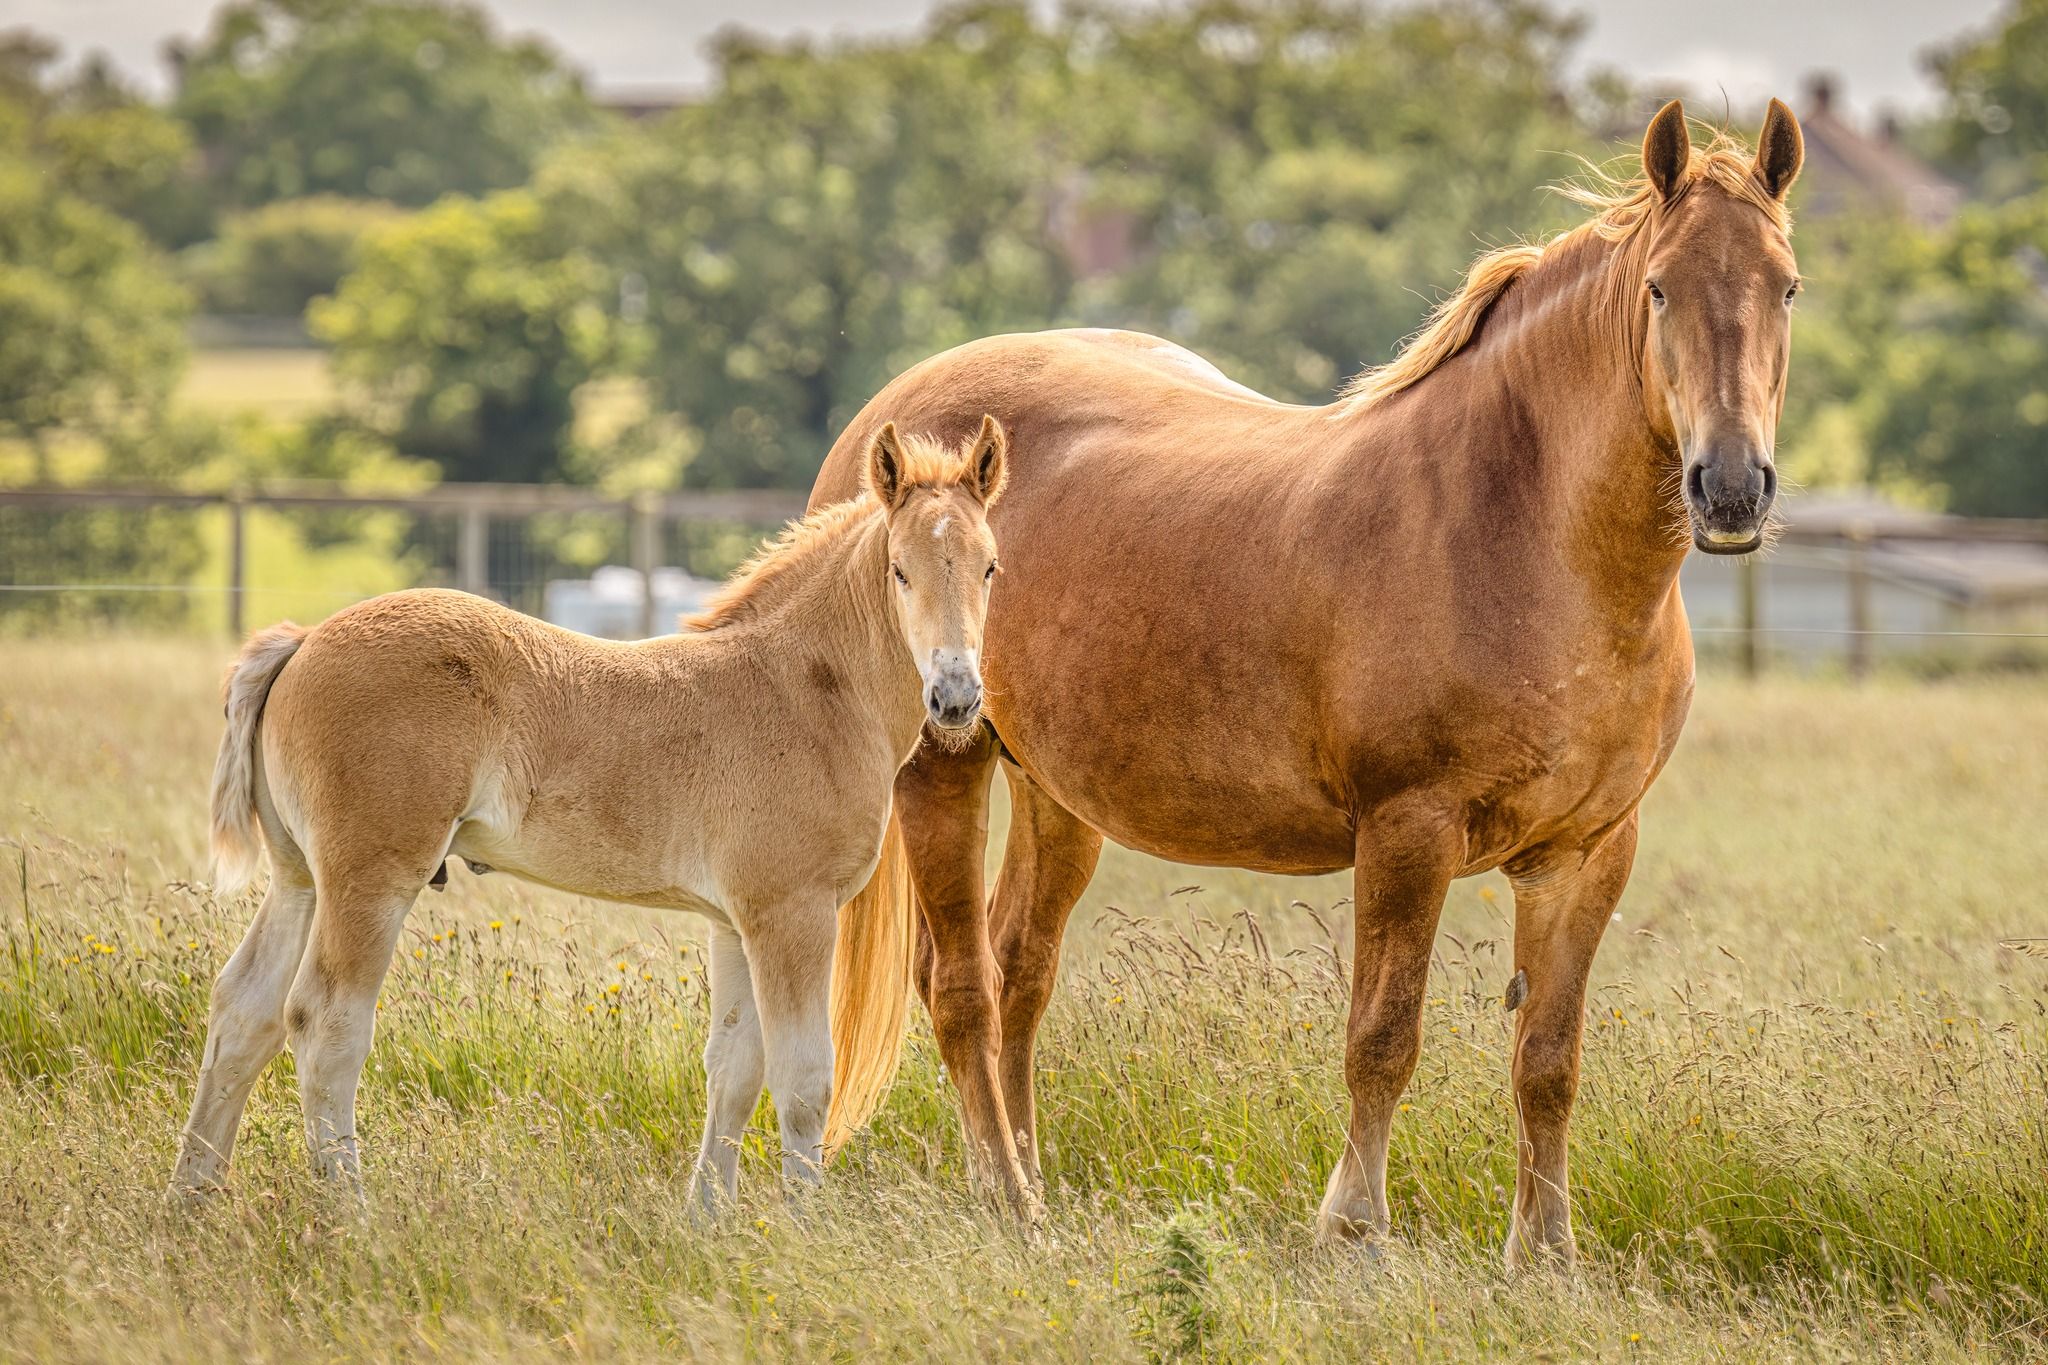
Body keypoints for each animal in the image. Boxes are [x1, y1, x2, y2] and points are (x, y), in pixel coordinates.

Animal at [172, 418, 1010, 1213]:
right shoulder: (792, 912)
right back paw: (351, 1211)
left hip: (300, 878)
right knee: (325, 1023)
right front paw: (802, 1230)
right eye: (900, 569)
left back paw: (191, 1198)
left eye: (990, 566)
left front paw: (709, 1223)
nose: (956, 697)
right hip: (370, 881)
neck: (803, 687)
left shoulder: (734, 920)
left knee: (245, 1009)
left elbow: (734, 1070)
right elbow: (804, 1080)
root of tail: (303, 639)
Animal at [815, 100, 1804, 1267]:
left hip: (1055, 792)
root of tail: (884, 434)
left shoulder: (1587, 853)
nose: (1730, 487)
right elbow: (1383, 1038)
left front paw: (1546, 1256)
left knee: (1019, 972)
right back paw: (1005, 1201)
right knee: (961, 987)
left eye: (1786, 285)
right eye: (1658, 288)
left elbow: (1547, 1061)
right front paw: (1353, 1229)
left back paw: (1026, 1180)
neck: (1515, 528)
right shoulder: (1407, 830)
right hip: (944, 769)